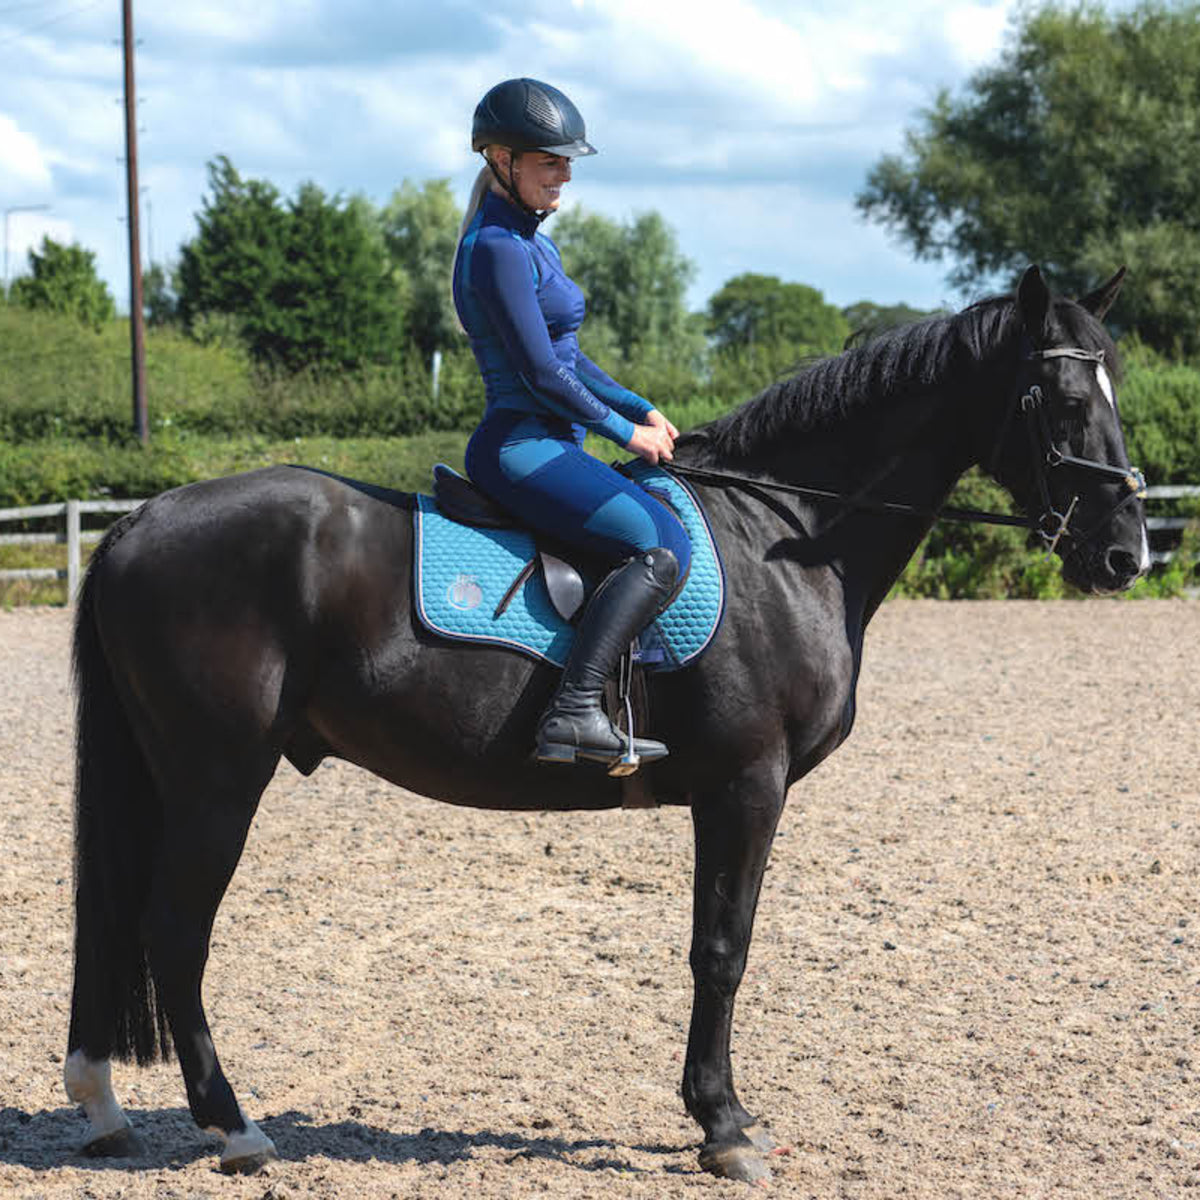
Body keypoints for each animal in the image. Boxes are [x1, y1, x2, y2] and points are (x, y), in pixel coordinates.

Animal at [64, 266, 1148, 1183]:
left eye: (1117, 387)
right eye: (1057, 400)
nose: (1126, 554)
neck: (782, 541)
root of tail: (138, 522)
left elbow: (718, 946)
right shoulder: (745, 784)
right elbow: (723, 949)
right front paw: (723, 1125)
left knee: (117, 920)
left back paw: (104, 1106)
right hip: (216, 780)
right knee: (174, 931)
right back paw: (233, 1127)